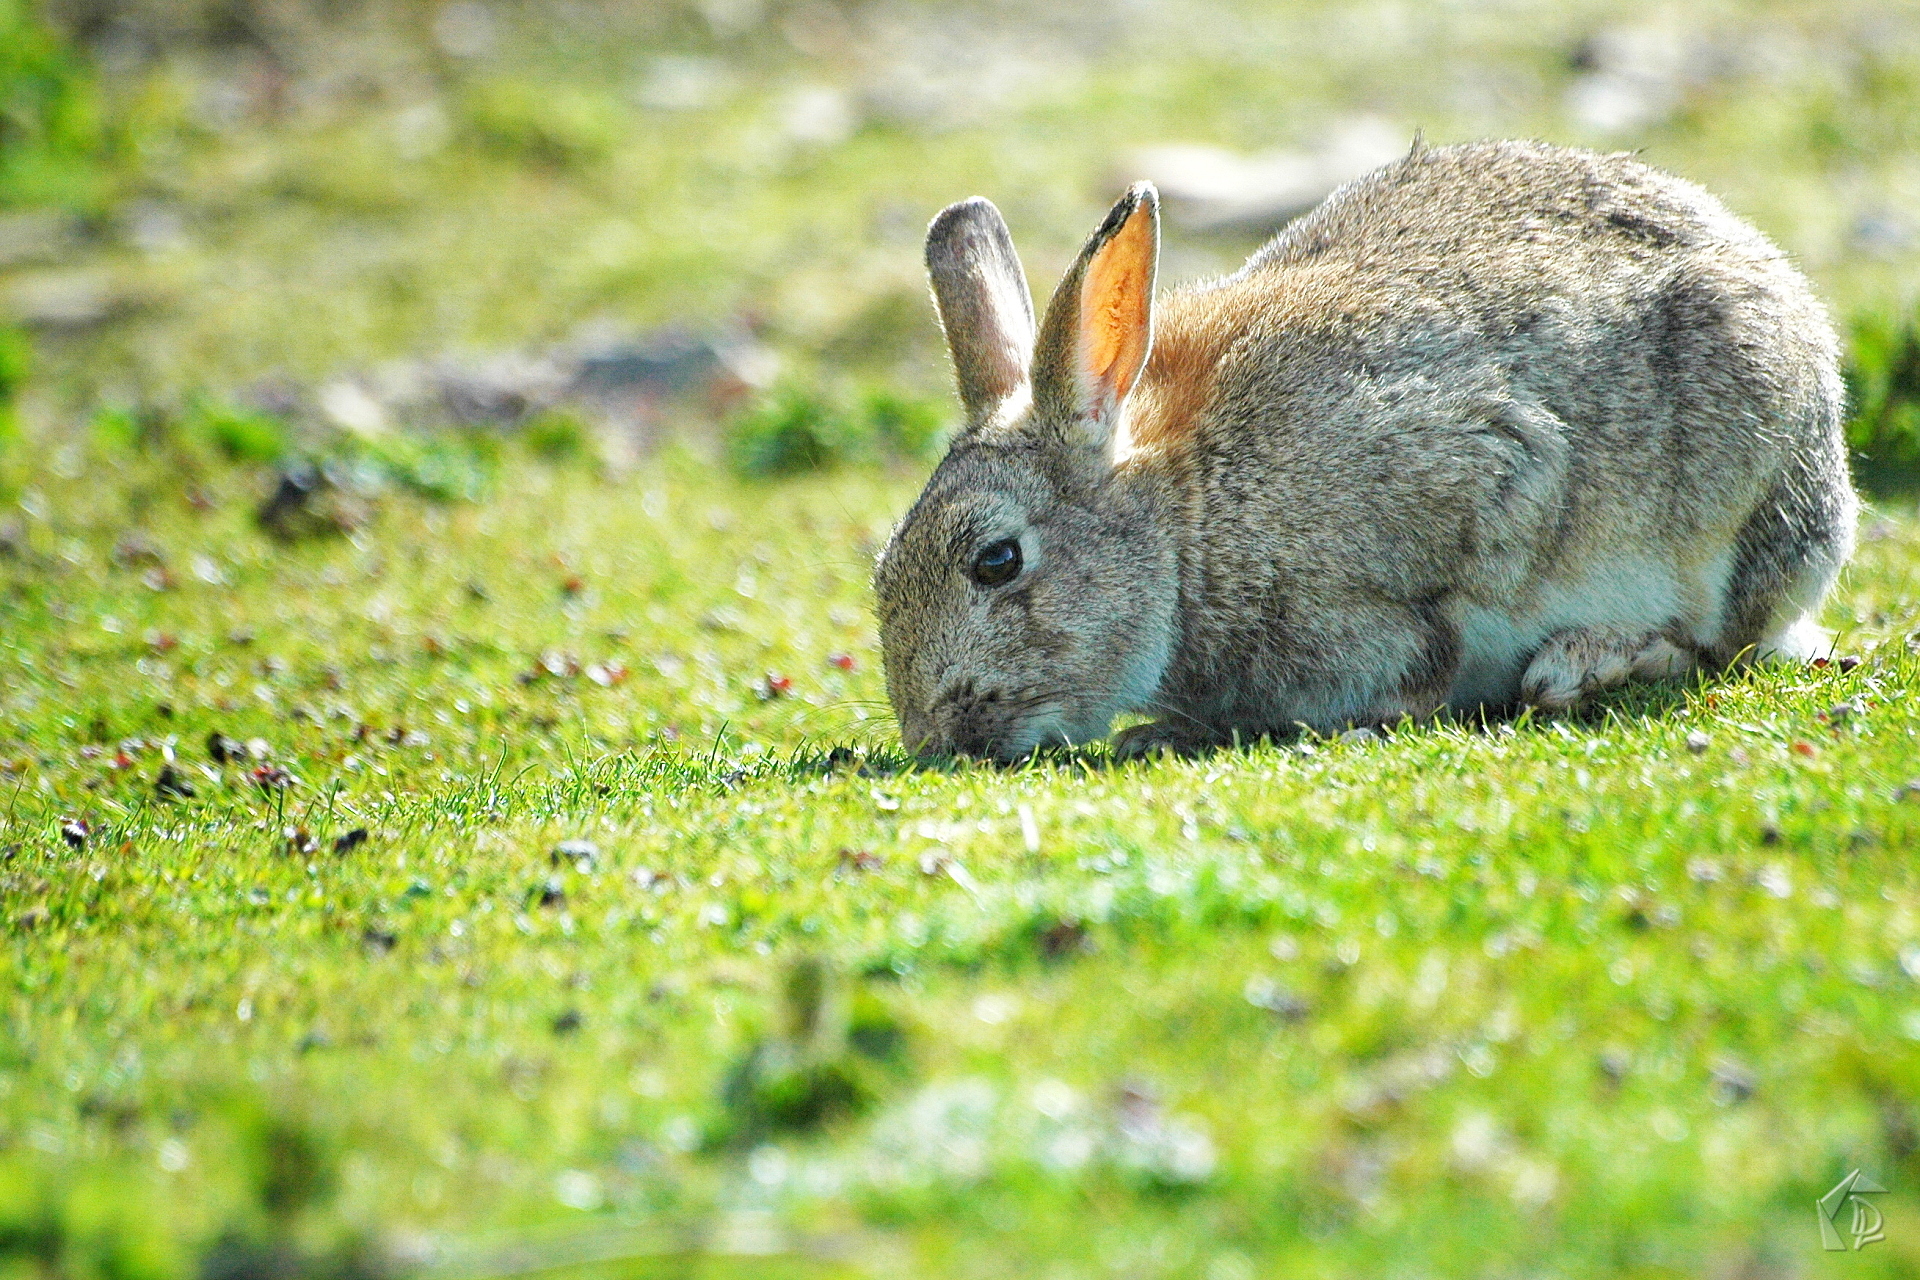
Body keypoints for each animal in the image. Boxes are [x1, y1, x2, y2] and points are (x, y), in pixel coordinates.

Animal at [872, 139, 1858, 761]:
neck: (1188, 522)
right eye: (882, 569)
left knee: (1726, 642)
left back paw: (1593, 660)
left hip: (1751, 495)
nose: (929, 739)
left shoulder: (1480, 480)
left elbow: (1437, 634)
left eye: (996, 561)